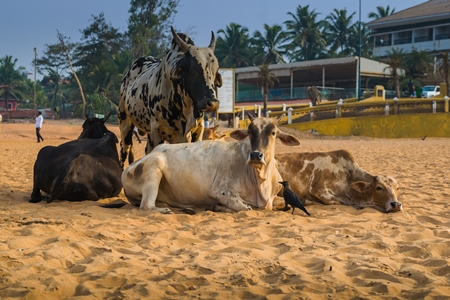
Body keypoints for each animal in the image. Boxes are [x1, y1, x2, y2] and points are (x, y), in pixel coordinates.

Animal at [118, 26, 222, 166]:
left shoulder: (197, 132)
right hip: (125, 125)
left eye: (216, 70)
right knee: (124, 152)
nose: (212, 103)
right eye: (194, 69)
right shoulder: (157, 133)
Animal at [121, 115, 300, 213]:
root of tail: (126, 169)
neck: (262, 181)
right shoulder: (220, 191)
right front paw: (218, 207)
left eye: (273, 133)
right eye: (249, 132)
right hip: (154, 166)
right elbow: (246, 208)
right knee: (146, 206)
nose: (256, 155)